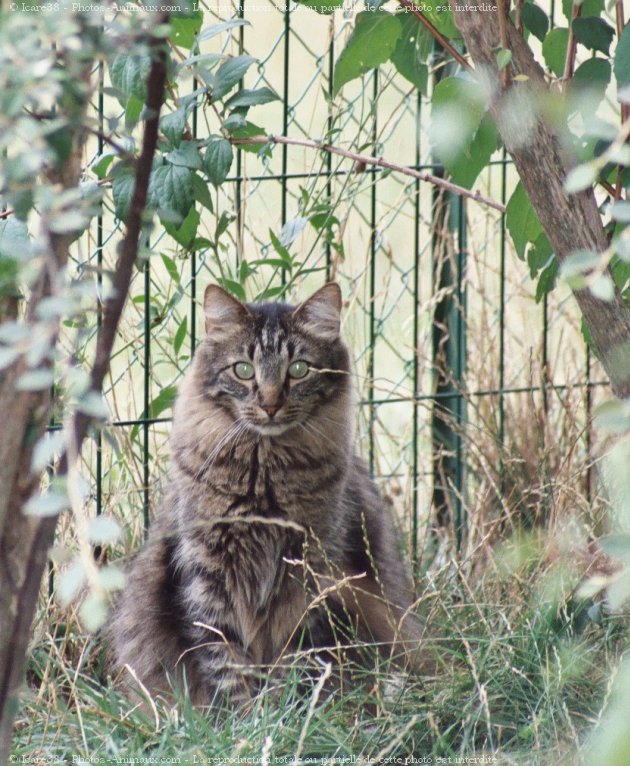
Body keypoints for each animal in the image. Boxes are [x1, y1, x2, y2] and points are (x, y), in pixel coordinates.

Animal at [107, 284, 424, 708]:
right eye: (243, 370)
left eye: (299, 369)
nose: (271, 404)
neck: (264, 475)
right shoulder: (207, 573)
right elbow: (226, 661)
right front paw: (245, 716)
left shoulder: (309, 571)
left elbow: (295, 655)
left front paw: (285, 710)